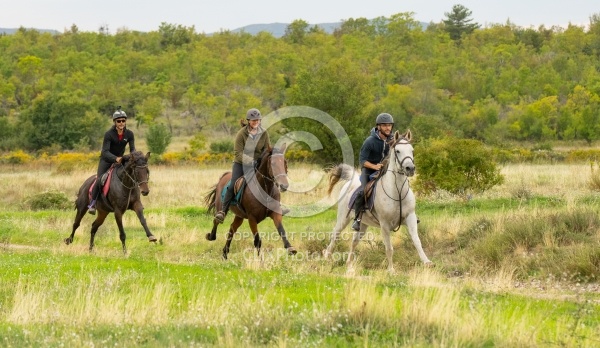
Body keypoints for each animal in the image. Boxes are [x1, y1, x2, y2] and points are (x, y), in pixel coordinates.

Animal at [324, 129, 432, 274]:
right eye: (398, 151)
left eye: (412, 150)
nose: (410, 168)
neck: (397, 192)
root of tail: (351, 181)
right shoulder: (385, 224)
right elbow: (389, 248)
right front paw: (391, 270)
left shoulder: (410, 217)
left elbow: (417, 240)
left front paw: (427, 262)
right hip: (343, 218)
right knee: (335, 235)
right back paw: (327, 258)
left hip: (363, 224)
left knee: (354, 241)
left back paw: (349, 265)